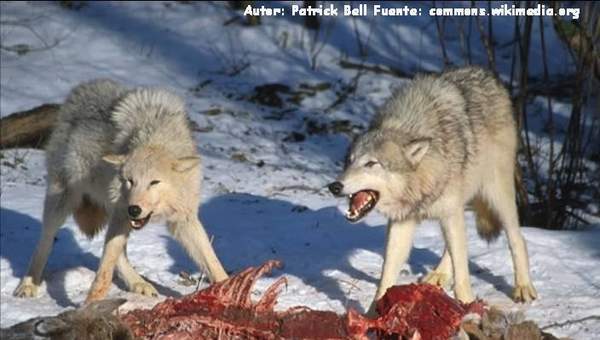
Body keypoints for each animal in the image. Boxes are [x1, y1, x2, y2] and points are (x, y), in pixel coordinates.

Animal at [14, 79, 230, 302]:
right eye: (130, 181)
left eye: (154, 182)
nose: (134, 209)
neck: (154, 136)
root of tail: (81, 90)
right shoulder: (121, 213)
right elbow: (104, 270)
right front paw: (90, 304)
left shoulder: (183, 219)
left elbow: (212, 261)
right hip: (63, 202)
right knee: (45, 242)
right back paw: (28, 284)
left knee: (119, 253)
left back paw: (138, 283)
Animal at [328, 67, 540, 314]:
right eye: (349, 161)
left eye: (371, 163)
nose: (335, 186)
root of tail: (488, 75)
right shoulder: (402, 222)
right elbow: (386, 275)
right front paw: (374, 314)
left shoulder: (449, 213)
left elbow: (462, 272)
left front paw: (468, 306)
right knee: (454, 245)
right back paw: (438, 275)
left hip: (496, 195)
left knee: (517, 238)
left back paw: (523, 287)